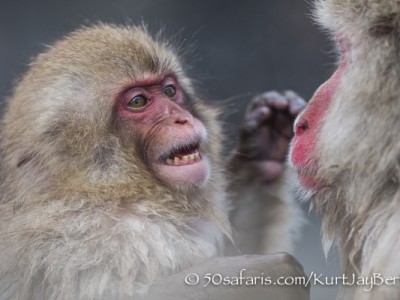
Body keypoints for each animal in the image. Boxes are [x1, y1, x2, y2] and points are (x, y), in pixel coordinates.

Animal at [0, 24, 306, 300]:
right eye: (137, 102)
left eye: (170, 91)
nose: (181, 118)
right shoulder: (93, 243)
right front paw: (270, 274)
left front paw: (262, 147)